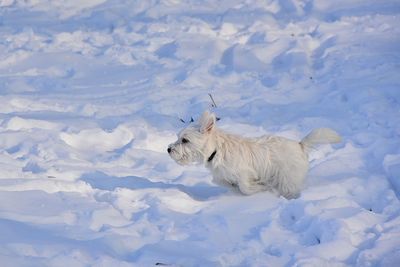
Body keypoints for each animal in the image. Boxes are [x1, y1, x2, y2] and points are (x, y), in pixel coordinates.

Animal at [166, 111, 340, 199]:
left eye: (185, 140)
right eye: (178, 137)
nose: (168, 149)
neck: (216, 151)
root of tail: (300, 144)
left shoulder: (244, 172)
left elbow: (245, 188)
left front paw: (259, 188)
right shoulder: (221, 177)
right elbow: (228, 184)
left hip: (288, 178)